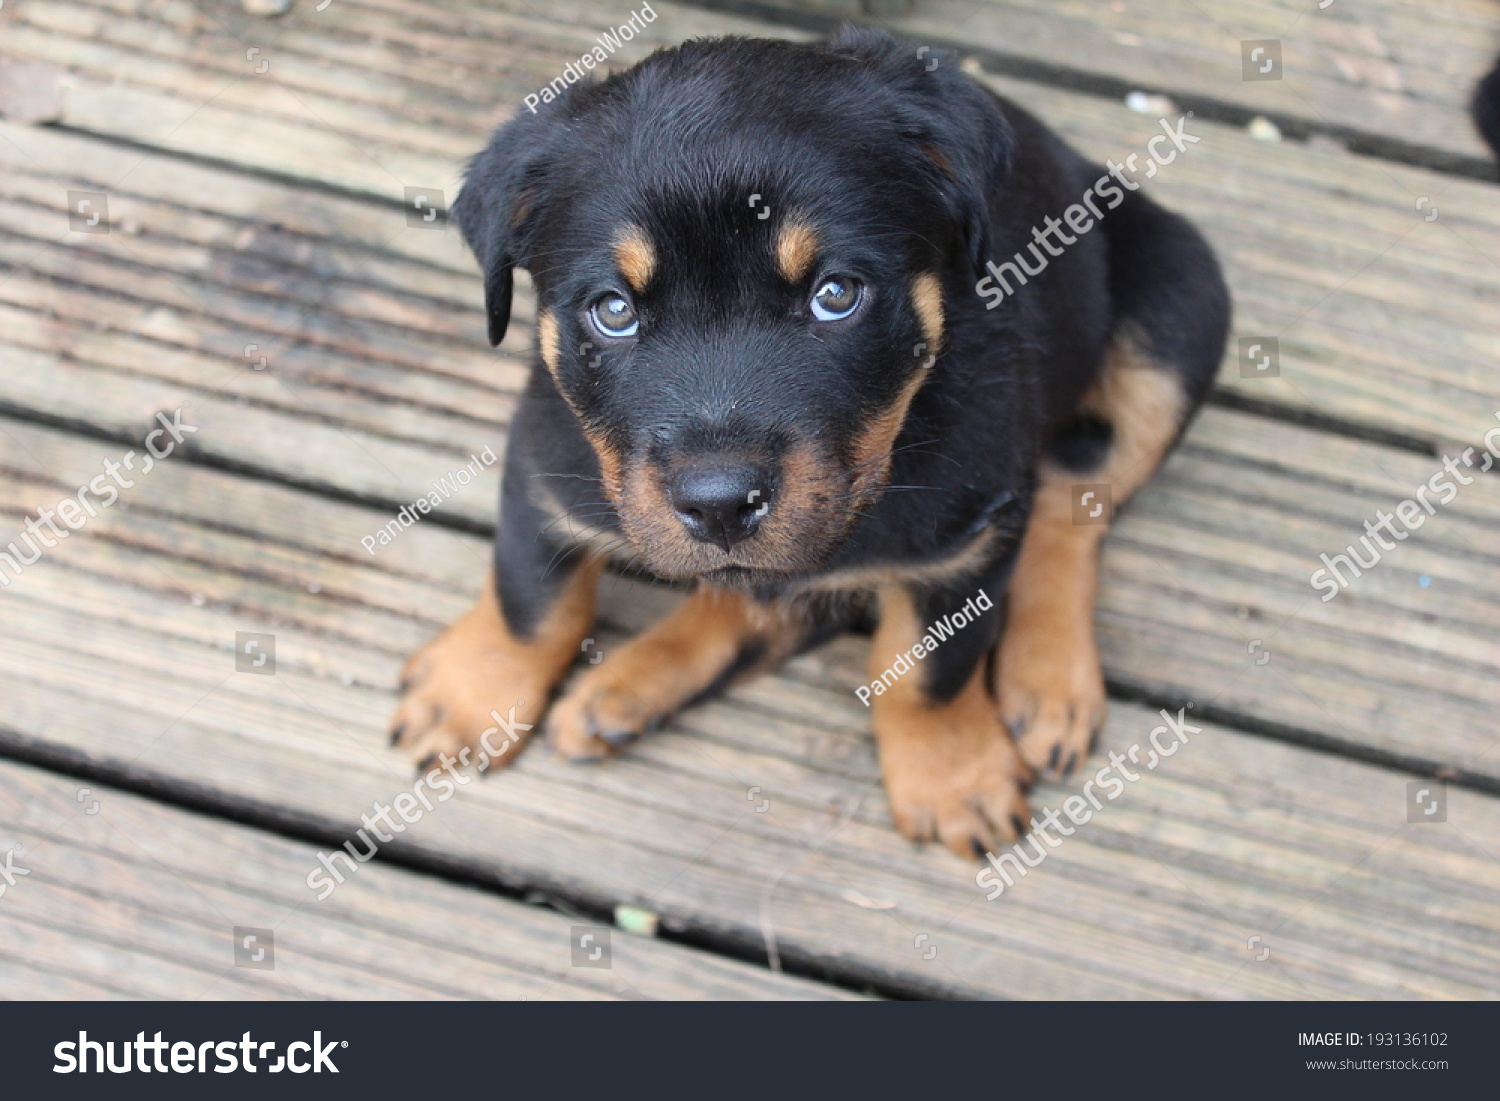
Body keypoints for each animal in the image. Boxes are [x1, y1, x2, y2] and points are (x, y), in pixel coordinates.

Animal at [390, 28, 1230, 864]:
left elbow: (931, 673)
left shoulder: (970, 534)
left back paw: (1049, 679)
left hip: (1182, 305)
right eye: (613, 310)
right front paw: (469, 697)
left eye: (836, 295)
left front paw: (953, 775)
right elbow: (531, 598)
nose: (720, 503)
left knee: (1073, 507)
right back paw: (626, 688)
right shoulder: (547, 461)